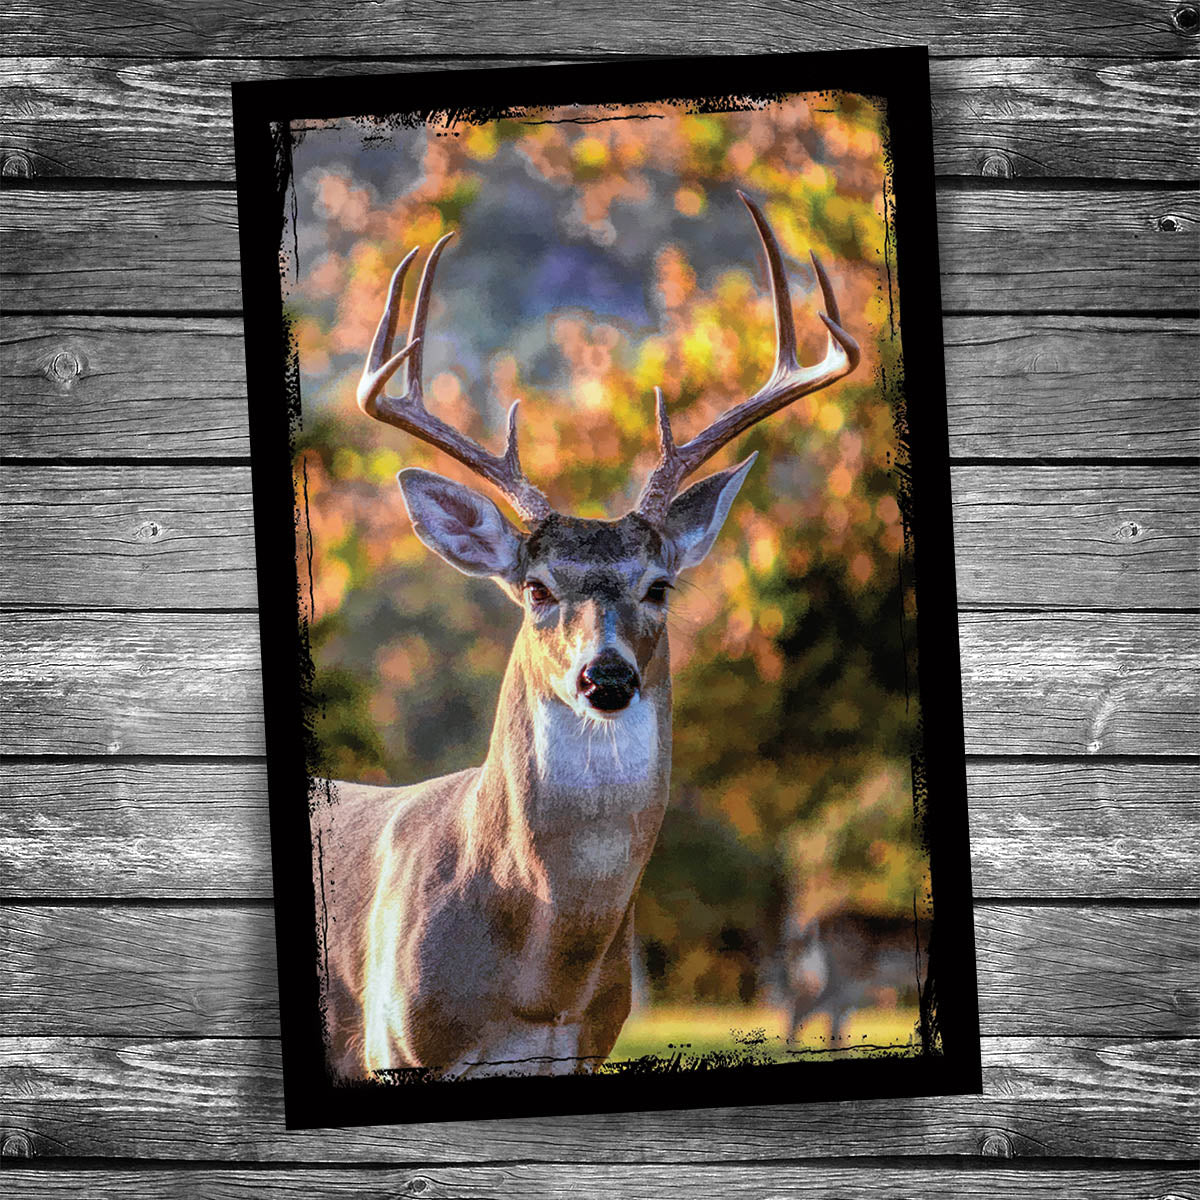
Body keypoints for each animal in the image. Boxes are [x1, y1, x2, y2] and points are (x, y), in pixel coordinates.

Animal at [311, 192, 859, 1081]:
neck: (540, 984)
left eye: (659, 585)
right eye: (537, 589)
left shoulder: (585, 1050)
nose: (607, 678)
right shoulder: (395, 1044)